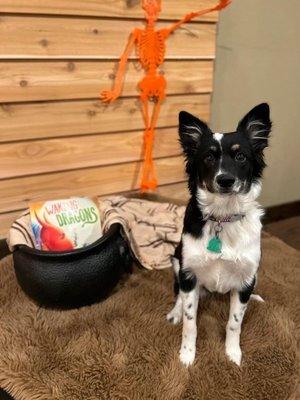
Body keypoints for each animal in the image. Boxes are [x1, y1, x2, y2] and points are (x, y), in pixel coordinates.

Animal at [166, 102, 272, 366]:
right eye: (208, 157)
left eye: (241, 156)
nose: (225, 180)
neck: (223, 217)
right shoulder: (188, 273)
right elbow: (190, 322)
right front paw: (187, 354)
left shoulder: (246, 277)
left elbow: (235, 323)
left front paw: (232, 353)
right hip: (175, 260)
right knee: (178, 295)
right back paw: (174, 312)